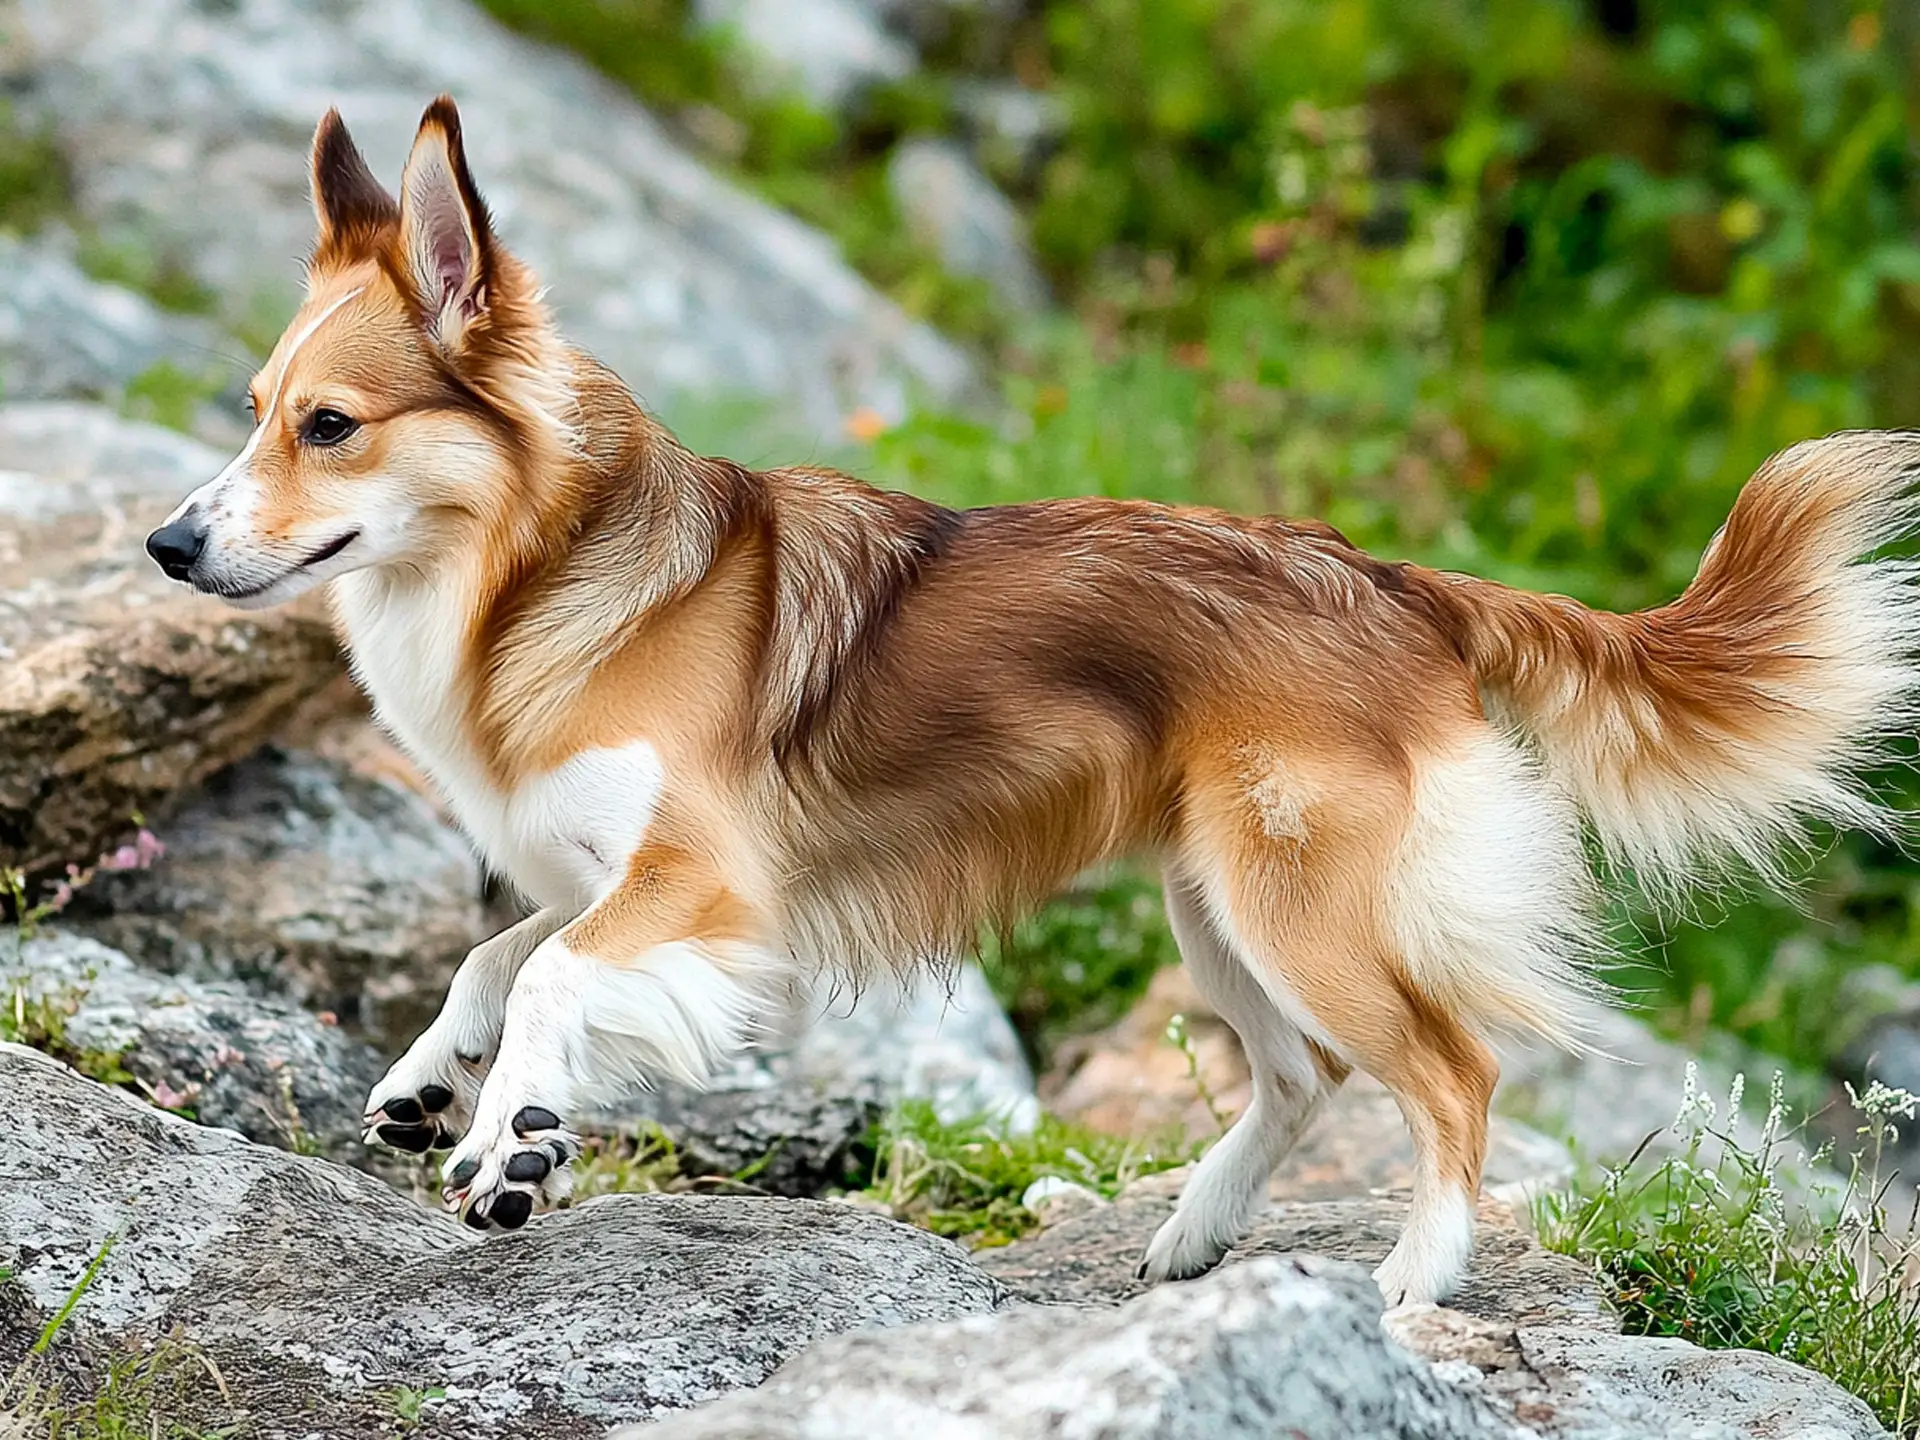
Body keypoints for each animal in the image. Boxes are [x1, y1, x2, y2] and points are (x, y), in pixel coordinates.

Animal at [145, 96, 1920, 1305]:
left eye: (328, 426)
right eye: (253, 409)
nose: (166, 545)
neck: (540, 570)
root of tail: (1399, 579)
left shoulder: (708, 873)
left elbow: (561, 970)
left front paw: (512, 1139)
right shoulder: (627, 869)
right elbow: (499, 952)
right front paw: (434, 1081)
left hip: (1296, 904)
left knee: (1450, 1076)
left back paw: (1419, 1280)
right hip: (1218, 902)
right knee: (1308, 1080)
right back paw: (1197, 1240)